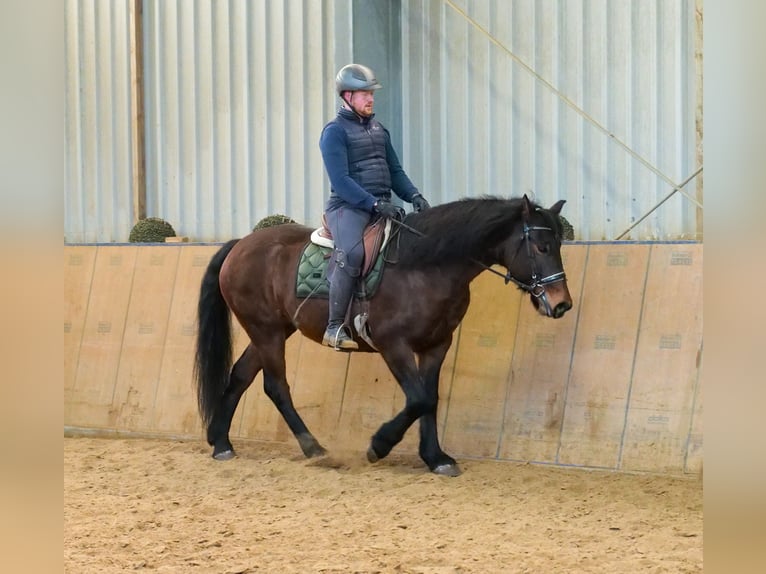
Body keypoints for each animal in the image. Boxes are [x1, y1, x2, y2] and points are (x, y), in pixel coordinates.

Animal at [195, 196, 572, 480]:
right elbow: (418, 399)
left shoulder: (437, 345)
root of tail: (240, 245)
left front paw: (436, 458)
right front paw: (379, 445)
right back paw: (313, 448)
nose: (561, 304)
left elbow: (430, 398)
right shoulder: (394, 346)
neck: (425, 266)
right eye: (541, 246)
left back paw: (221, 443)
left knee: (240, 376)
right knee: (276, 386)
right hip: (267, 331)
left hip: (272, 330)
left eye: (558, 245)